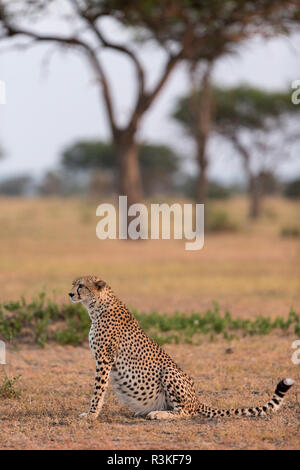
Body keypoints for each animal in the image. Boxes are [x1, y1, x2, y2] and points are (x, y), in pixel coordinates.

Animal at [68, 276, 296, 422]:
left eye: (81, 286)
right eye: (73, 284)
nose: (70, 294)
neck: (97, 307)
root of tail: (197, 399)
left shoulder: (104, 358)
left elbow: (98, 390)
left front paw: (91, 415)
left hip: (170, 372)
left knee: (186, 412)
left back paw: (159, 414)